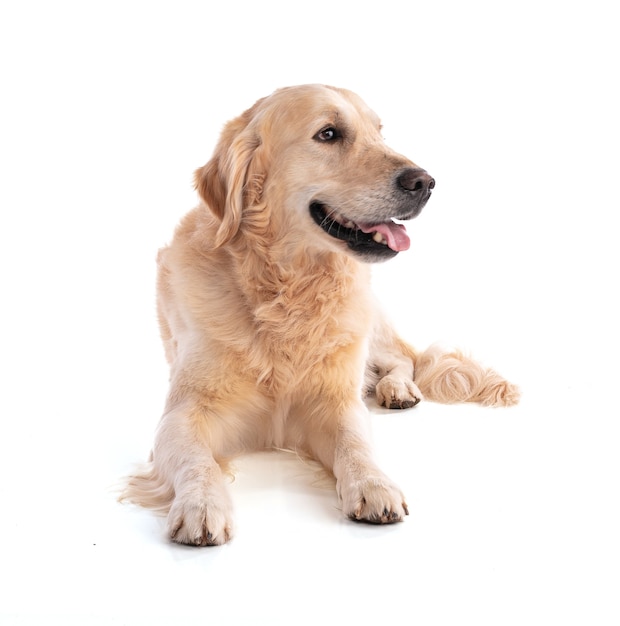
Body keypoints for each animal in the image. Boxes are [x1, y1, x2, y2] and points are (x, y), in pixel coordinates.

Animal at [121, 85, 520, 544]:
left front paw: (373, 484)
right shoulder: (183, 413)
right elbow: (195, 459)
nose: (425, 182)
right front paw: (200, 504)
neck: (288, 291)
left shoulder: (336, 401)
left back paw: (398, 389)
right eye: (328, 134)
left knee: (403, 360)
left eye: (379, 132)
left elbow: (355, 443)